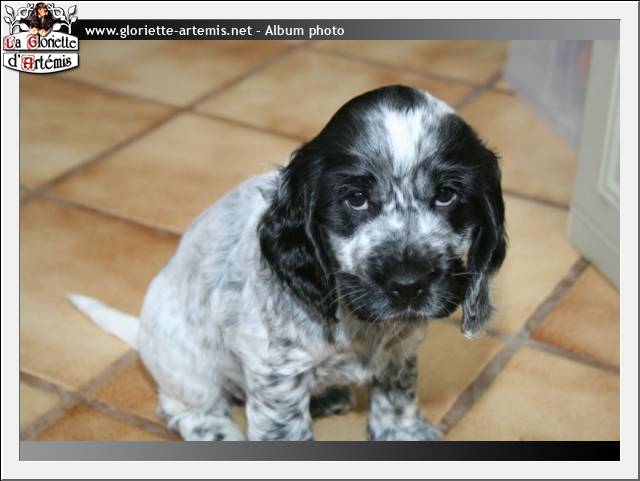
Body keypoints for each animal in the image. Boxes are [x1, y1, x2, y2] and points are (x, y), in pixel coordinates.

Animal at [70, 85, 506, 441]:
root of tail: (142, 332)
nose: (408, 284)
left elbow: (397, 398)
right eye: (355, 198)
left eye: (447, 195)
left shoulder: (400, 351)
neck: (356, 325)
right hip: (187, 366)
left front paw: (403, 433)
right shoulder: (276, 374)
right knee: (185, 406)